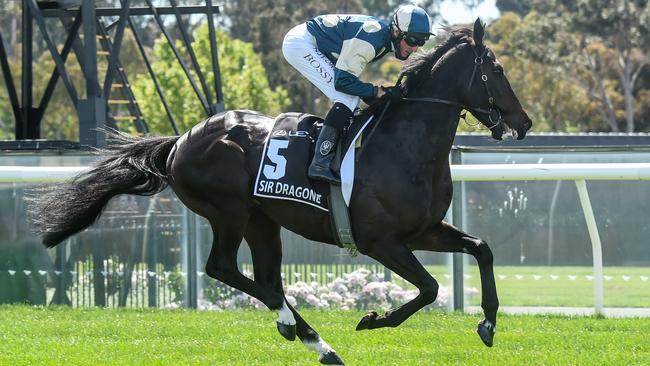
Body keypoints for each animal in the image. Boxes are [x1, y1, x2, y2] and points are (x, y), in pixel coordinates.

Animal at [27, 20, 528, 366]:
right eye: (497, 69)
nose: (523, 123)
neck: (405, 144)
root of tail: (181, 140)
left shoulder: (423, 230)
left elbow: (481, 248)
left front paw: (487, 321)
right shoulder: (380, 241)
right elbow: (428, 288)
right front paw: (374, 319)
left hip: (262, 221)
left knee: (266, 280)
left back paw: (315, 342)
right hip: (229, 212)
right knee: (222, 268)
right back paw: (299, 328)